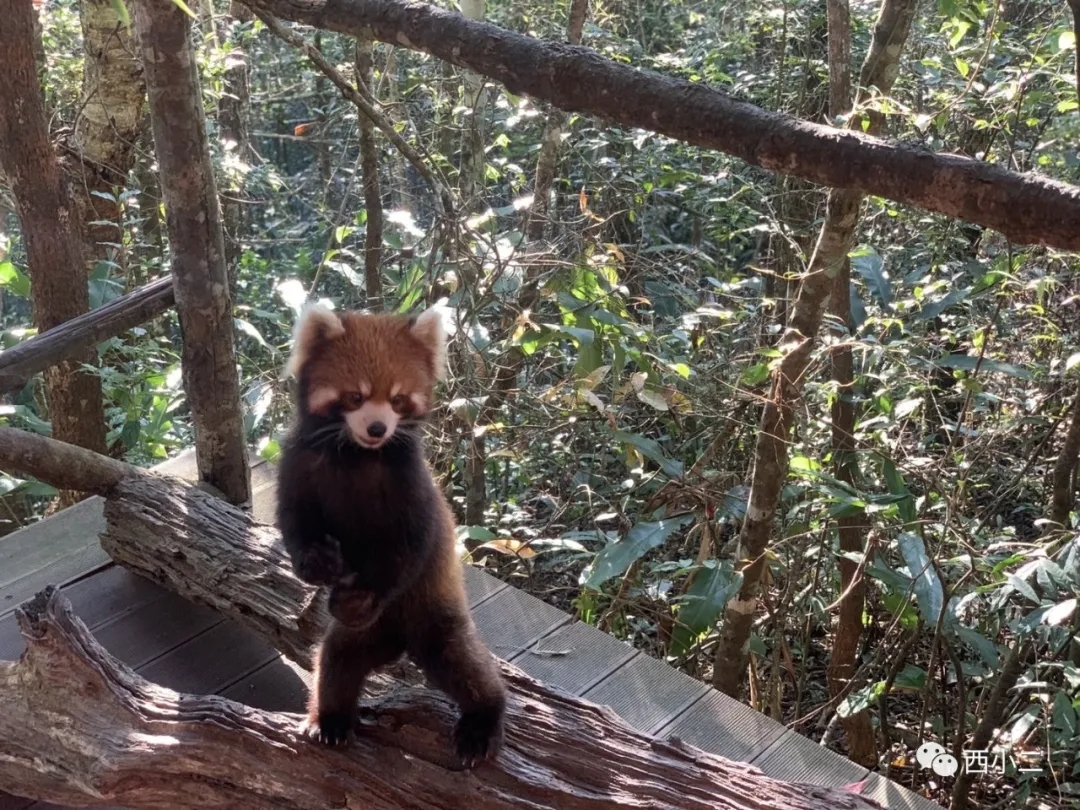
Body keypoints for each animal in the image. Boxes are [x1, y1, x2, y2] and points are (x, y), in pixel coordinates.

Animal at [278, 304, 505, 768]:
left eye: (399, 399)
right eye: (355, 397)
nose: (379, 428)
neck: (356, 456)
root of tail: (397, 640)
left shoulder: (411, 487)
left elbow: (408, 550)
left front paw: (363, 593)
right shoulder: (298, 465)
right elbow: (294, 523)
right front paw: (316, 562)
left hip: (434, 615)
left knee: (465, 664)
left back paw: (482, 722)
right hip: (358, 637)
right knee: (336, 661)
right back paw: (329, 720)